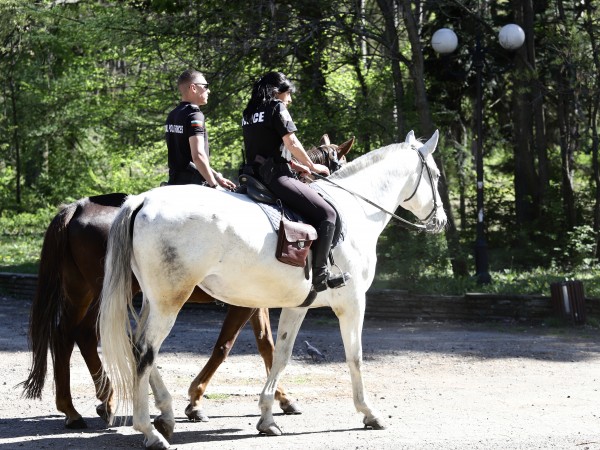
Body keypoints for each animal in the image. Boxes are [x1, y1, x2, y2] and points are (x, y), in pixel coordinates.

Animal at [21, 136, 354, 428]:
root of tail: (78, 207)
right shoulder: (244, 303)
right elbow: (227, 346)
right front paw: (196, 401)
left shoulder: (253, 300)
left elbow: (264, 345)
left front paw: (280, 399)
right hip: (103, 293)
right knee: (83, 335)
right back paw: (94, 404)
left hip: (82, 291)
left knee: (69, 335)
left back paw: (85, 406)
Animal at [98, 128, 446, 448]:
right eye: (437, 175)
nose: (441, 220)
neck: (354, 209)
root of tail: (142, 200)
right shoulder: (352, 303)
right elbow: (355, 357)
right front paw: (369, 412)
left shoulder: (296, 306)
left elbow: (280, 354)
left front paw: (267, 416)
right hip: (170, 302)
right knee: (145, 350)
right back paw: (150, 429)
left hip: (153, 301)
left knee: (138, 346)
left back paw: (166, 414)